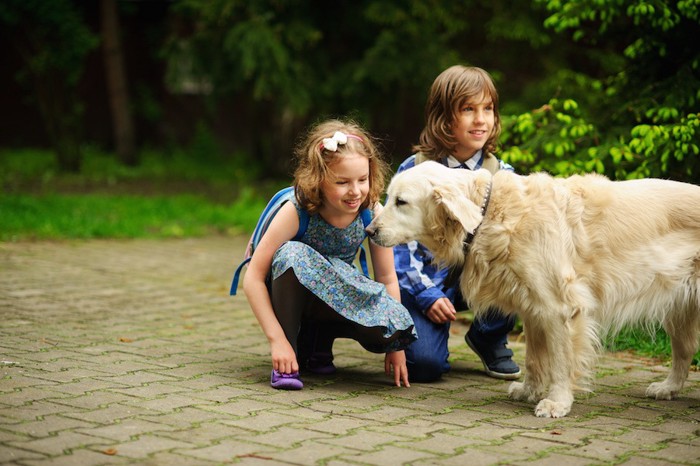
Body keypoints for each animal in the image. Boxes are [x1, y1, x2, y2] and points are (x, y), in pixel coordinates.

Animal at [366, 161, 700, 418]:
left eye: (401, 202)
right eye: (390, 197)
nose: (369, 230)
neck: (490, 215)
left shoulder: (560, 308)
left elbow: (561, 361)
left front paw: (557, 402)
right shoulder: (533, 306)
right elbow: (534, 358)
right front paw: (530, 390)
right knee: (684, 352)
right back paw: (668, 388)